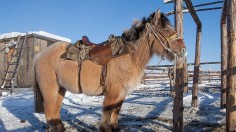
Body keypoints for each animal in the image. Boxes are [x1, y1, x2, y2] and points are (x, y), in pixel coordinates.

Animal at [34, 9, 187, 131]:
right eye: (166, 30)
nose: (183, 49)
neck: (129, 55)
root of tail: (40, 55)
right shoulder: (112, 93)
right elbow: (107, 114)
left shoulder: (122, 93)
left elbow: (116, 111)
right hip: (50, 90)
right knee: (50, 110)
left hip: (60, 89)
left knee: (55, 111)